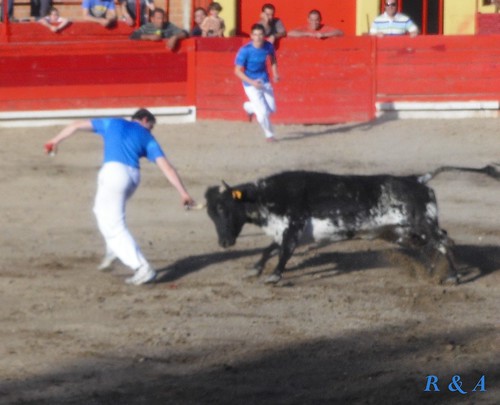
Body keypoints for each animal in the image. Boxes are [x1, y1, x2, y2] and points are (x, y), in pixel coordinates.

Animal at [204, 164, 500, 284]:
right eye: (211, 214)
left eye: (223, 208)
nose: (224, 243)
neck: (269, 196)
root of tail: (417, 179)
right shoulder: (290, 233)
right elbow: (269, 249)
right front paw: (254, 269)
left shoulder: (293, 229)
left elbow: (283, 253)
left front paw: (274, 277)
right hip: (403, 232)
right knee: (432, 244)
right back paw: (432, 271)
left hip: (421, 224)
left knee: (444, 241)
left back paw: (453, 276)